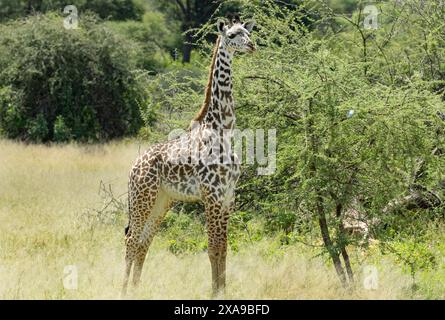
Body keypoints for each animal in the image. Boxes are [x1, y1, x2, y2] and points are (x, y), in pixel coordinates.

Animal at [121, 16, 255, 298]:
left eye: (249, 32)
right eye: (233, 35)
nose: (252, 46)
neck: (223, 129)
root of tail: (133, 167)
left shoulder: (228, 196)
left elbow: (224, 248)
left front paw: (223, 290)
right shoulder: (211, 195)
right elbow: (213, 247)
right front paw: (215, 292)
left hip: (162, 201)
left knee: (143, 241)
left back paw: (137, 289)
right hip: (142, 198)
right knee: (131, 238)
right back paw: (123, 289)